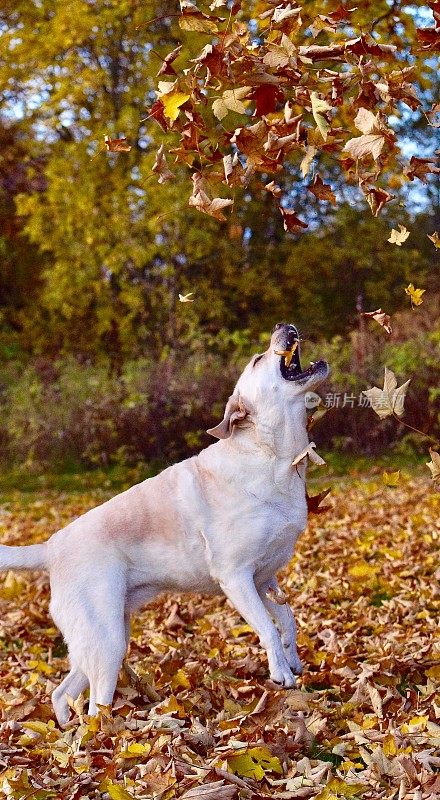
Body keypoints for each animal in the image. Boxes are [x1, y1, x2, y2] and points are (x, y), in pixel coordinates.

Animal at [0, 322, 326, 720]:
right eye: (256, 360)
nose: (284, 326)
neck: (274, 456)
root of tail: (50, 548)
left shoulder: (265, 579)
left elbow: (288, 620)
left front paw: (293, 660)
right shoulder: (237, 577)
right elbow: (267, 627)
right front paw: (281, 673)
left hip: (102, 639)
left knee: (62, 694)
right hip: (107, 641)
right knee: (93, 708)